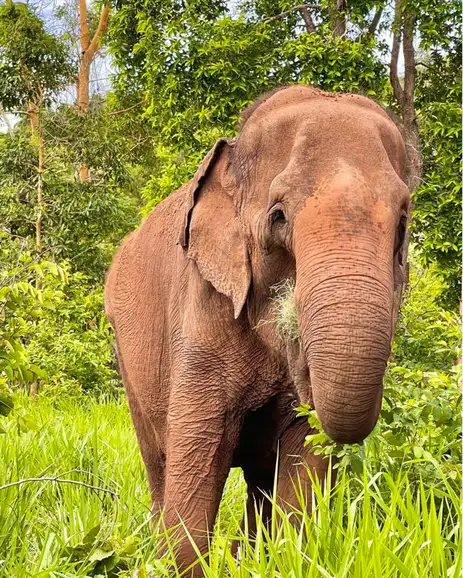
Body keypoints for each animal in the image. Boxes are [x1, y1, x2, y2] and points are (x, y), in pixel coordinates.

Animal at [104, 84, 410, 572]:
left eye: (402, 223)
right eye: (279, 216)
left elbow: (303, 461)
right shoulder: (203, 306)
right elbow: (199, 452)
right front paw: (180, 565)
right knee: (159, 460)